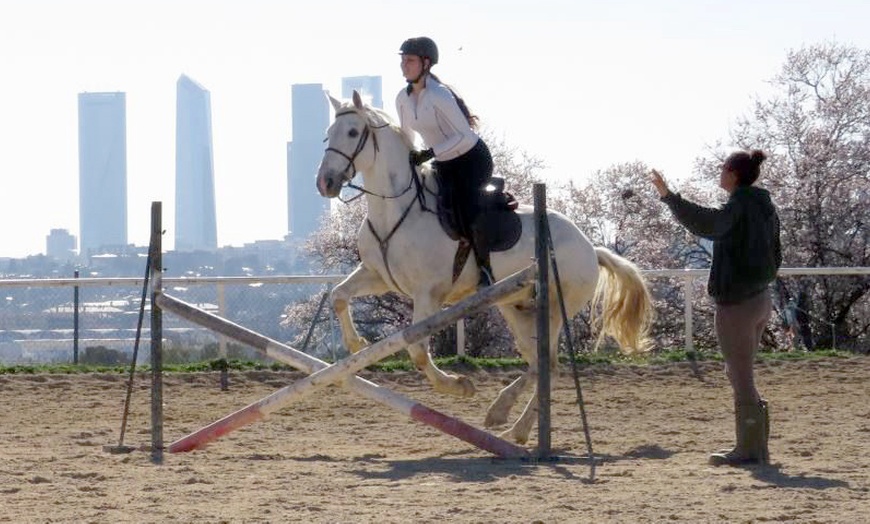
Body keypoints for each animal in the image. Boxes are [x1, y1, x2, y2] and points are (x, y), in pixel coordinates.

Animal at [315, 91, 653, 444]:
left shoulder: (428, 293)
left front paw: (459, 387)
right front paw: (356, 346)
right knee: (538, 364)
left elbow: (418, 351)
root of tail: (589, 246)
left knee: (550, 365)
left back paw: (516, 428)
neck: (394, 209)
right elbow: (339, 296)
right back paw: (503, 415)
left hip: (554, 309)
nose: (325, 183)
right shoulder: (378, 276)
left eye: (353, 132)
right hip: (517, 308)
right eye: (329, 133)